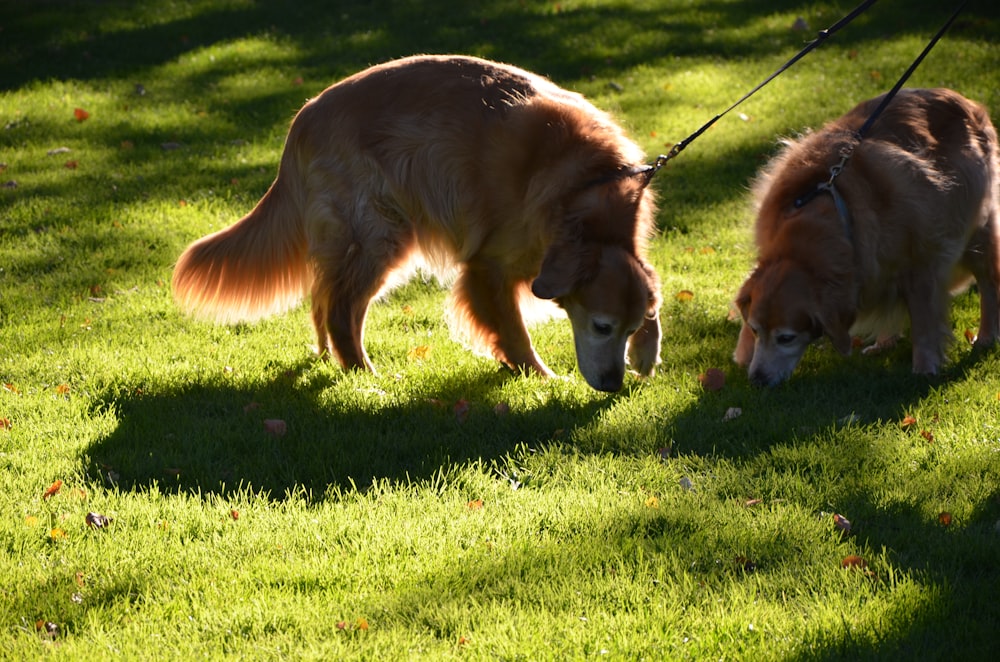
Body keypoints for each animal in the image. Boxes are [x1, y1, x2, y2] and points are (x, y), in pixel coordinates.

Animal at [173, 55, 664, 394]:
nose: (613, 385)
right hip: (379, 234)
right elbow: (514, 331)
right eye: (601, 327)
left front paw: (647, 352)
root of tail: (304, 116)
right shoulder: (488, 266)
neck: (584, 191)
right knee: (340, 309)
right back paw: (364, 376)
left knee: (324, 297)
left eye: (628, 327)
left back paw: (334, 360)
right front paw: (540, 377)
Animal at [736, 89, 1000, 390]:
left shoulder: (921, 263)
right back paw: (885, 342)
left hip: (976, 229)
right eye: (755, 329)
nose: (757, 380)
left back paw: (987, 335)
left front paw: (924, 367)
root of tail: (966, 101)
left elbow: (923, 320)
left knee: (989, 284)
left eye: (786, 338)